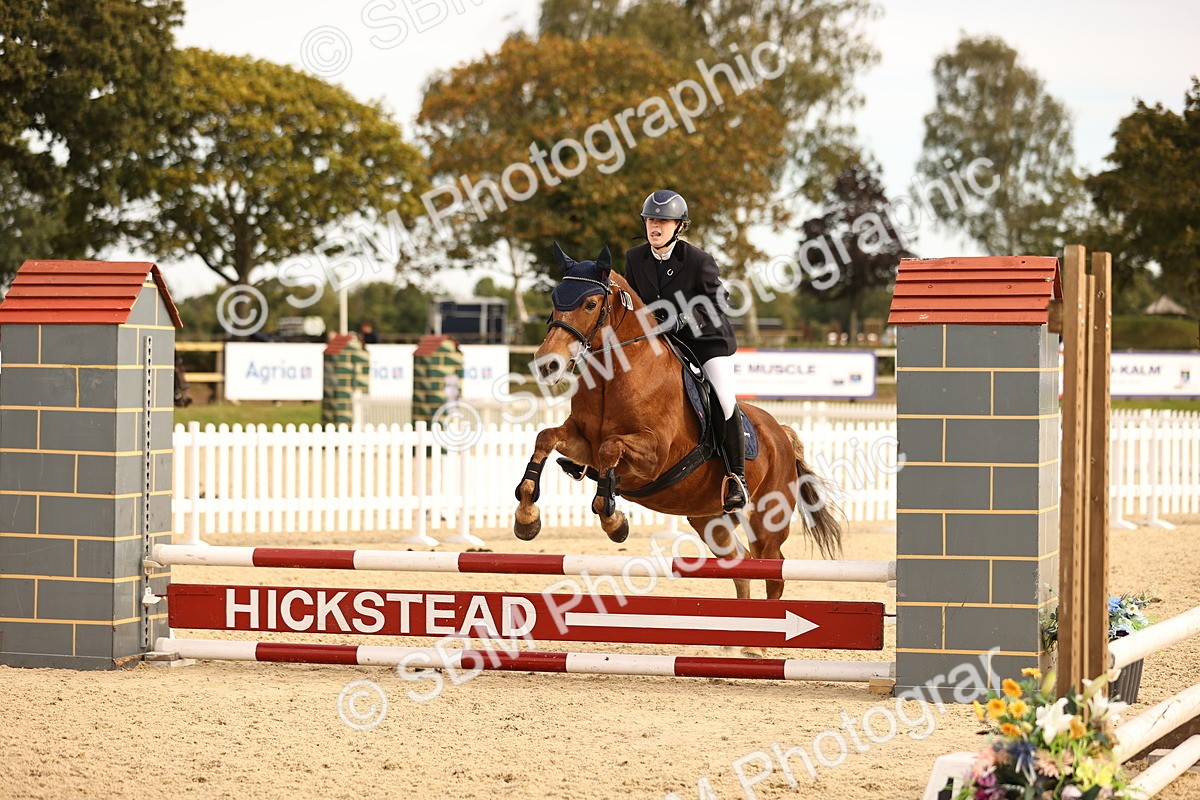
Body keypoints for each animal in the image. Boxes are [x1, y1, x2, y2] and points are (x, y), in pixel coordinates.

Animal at [512, 244, 843, 616]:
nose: (547, 364)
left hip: (767, 521)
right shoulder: (582, 443)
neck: (616, 374)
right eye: (555, 297)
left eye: (590, 304)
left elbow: (611, 447)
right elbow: (546, 438)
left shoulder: (652, 458)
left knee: (772, 569)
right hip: (708, 520)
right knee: (739, 563)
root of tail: (781, 433)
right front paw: (526, 516)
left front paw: (615, 521)